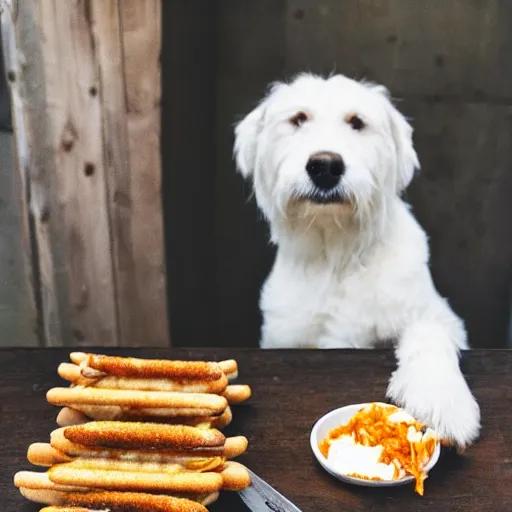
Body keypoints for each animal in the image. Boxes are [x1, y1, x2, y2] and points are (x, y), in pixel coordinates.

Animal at [234, 72, 482, 448]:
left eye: (357, 122)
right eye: (298, 119)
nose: (325, 166)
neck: (338, 255)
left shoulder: (438, 315)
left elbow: (430, 334)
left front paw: (441, 400)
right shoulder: (285, 337)